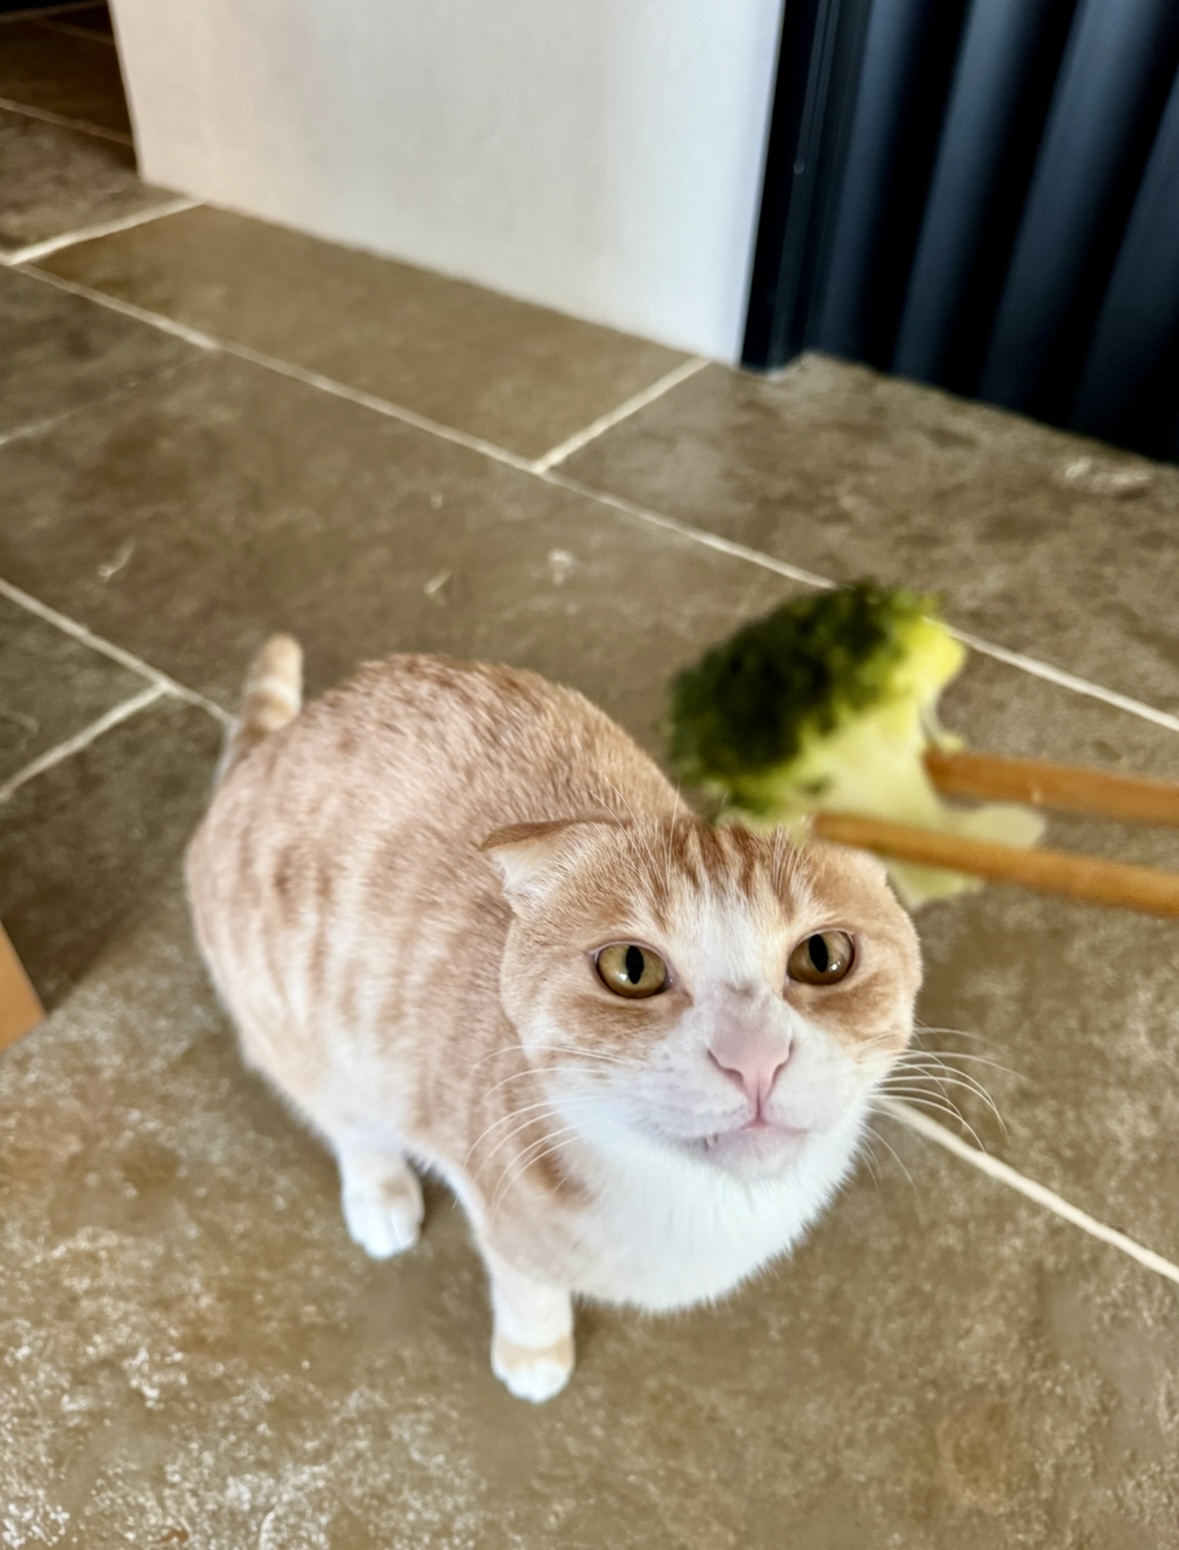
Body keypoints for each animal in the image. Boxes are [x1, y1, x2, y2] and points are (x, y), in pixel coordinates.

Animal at [186, 636, 921, 1402]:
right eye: (631, 968)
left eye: (823, 955)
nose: (754, 1057)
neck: (703, 1207)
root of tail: (276, 746)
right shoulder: (498, 1208)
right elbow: (527, 1287)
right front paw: (533, 1353)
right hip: (305, 1036)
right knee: (350, 1124)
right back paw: (379, 1194)